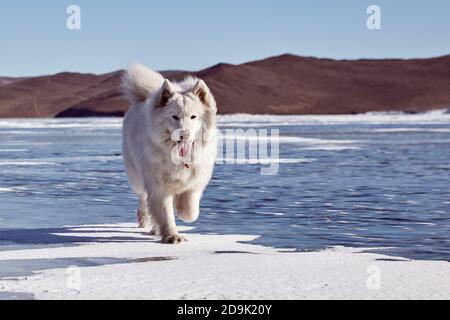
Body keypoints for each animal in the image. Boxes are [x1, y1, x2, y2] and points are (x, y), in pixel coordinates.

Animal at [119, 63, 218, 244]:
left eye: (193, 117)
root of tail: (142, 98)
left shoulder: (195, 182)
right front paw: (172, 236)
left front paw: (180, 208)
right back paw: (144, 219)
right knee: (143, 197)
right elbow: (165, 214)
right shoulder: (158, 186)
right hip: (137, 175)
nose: (184, 134)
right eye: (174, 117)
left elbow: (190, 211)